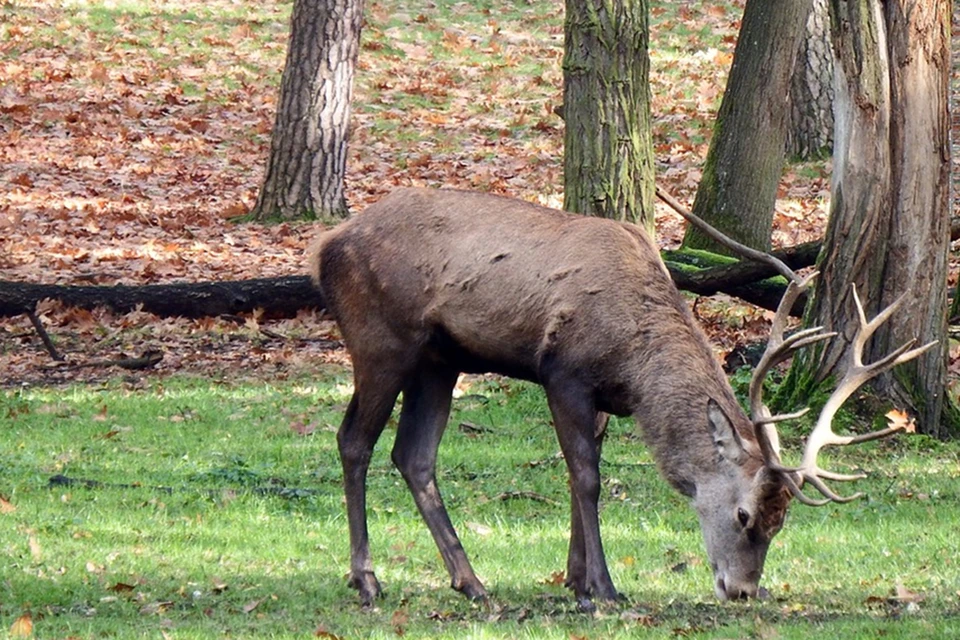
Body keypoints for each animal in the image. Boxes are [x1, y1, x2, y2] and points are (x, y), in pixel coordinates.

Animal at [310, 186, 936, 608]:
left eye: (780, 525)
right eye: (744, 515)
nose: (741, 590)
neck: (635, 368)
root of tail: (324, 248)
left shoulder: (603, 400)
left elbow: (576, 478)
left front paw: (574, 579)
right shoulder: (563, 372)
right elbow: (586, 477)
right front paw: (604, 589)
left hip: (441, 362)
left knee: (414, 456)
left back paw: (472, 582)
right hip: (381, 341)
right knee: (353, 441)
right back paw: (367, 580)